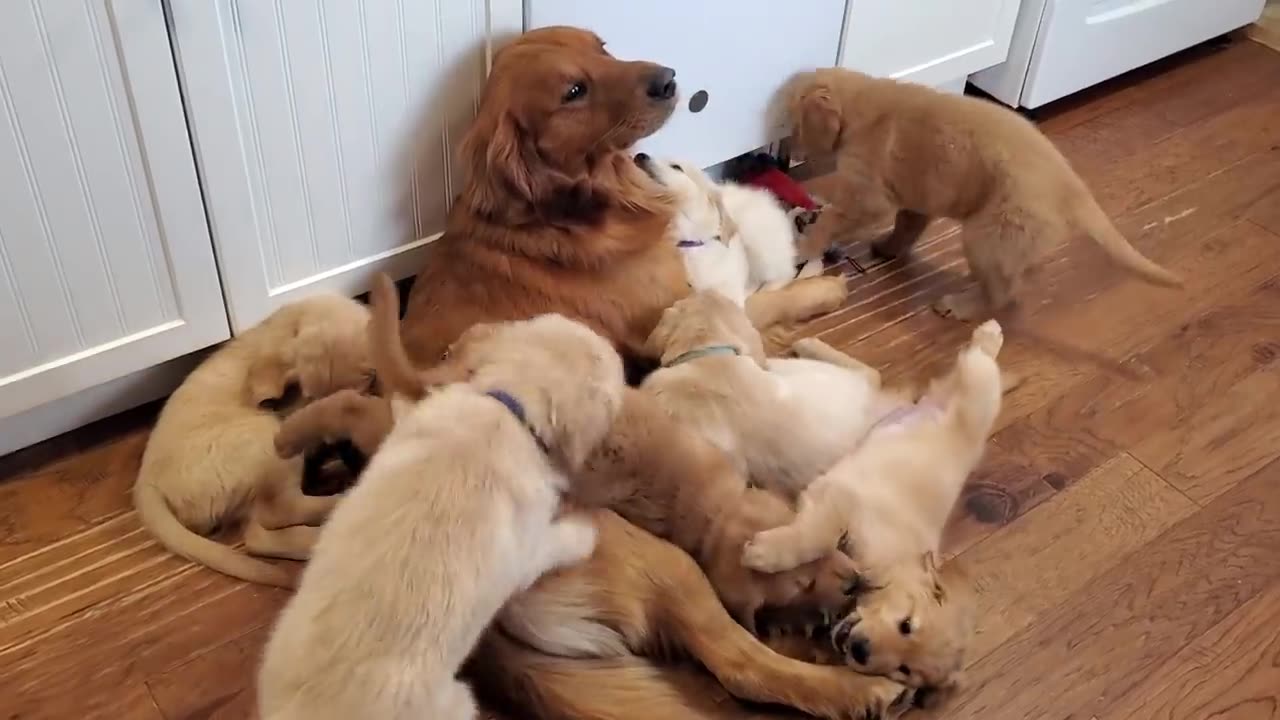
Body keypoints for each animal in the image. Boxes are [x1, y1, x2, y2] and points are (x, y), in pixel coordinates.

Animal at [135, 294, 373, 586]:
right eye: (309, 398)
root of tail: (147, 482)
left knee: (257, 536)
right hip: (266, 437)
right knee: (279, 511)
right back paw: (341, 503)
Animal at [747, 319, 1003, 702]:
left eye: (904, 671)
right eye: (907, 625)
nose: (861, 651)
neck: (892, 563)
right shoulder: (845, 502)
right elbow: (817, 538)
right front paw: (763, 554)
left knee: (871, 375)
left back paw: (811, 346)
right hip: (979, 392)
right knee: (979, 360)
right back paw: (990, 333)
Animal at [783, 67, 1182, 319]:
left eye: (793, 123)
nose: (787, 149)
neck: (862, 105)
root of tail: (1072, 187)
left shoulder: (869, 195)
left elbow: (834, 217)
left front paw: (806, 243)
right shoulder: (917, 196)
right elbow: (907, 226)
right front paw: (889, 247)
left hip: (988, 233)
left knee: (1001, 294)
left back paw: (959, 306)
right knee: (1014, 277)